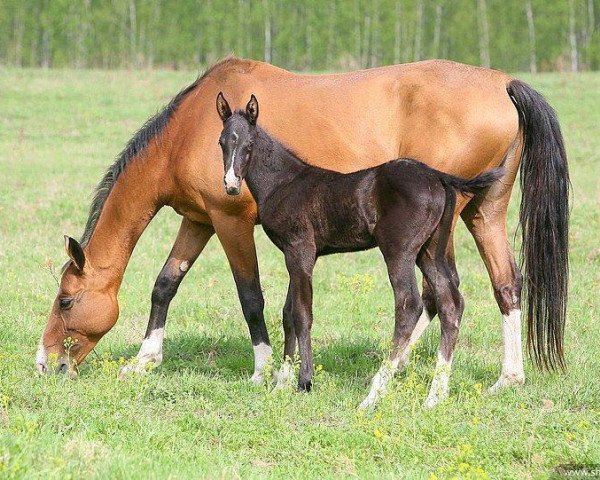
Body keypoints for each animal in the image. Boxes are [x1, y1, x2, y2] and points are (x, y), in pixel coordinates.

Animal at [37, 57, 568, 394]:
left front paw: (264, 369)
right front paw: (144, 361)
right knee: (503, 285)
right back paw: (504, 378)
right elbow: (165, 284)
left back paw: (394, 372)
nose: (45, 365)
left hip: (444, 226)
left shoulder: (230, 221)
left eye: (66, 301)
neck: (190, 129)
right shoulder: (198, 219)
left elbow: (251, 296)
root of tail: (504, 84)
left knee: (434, 299)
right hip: (484, 214)